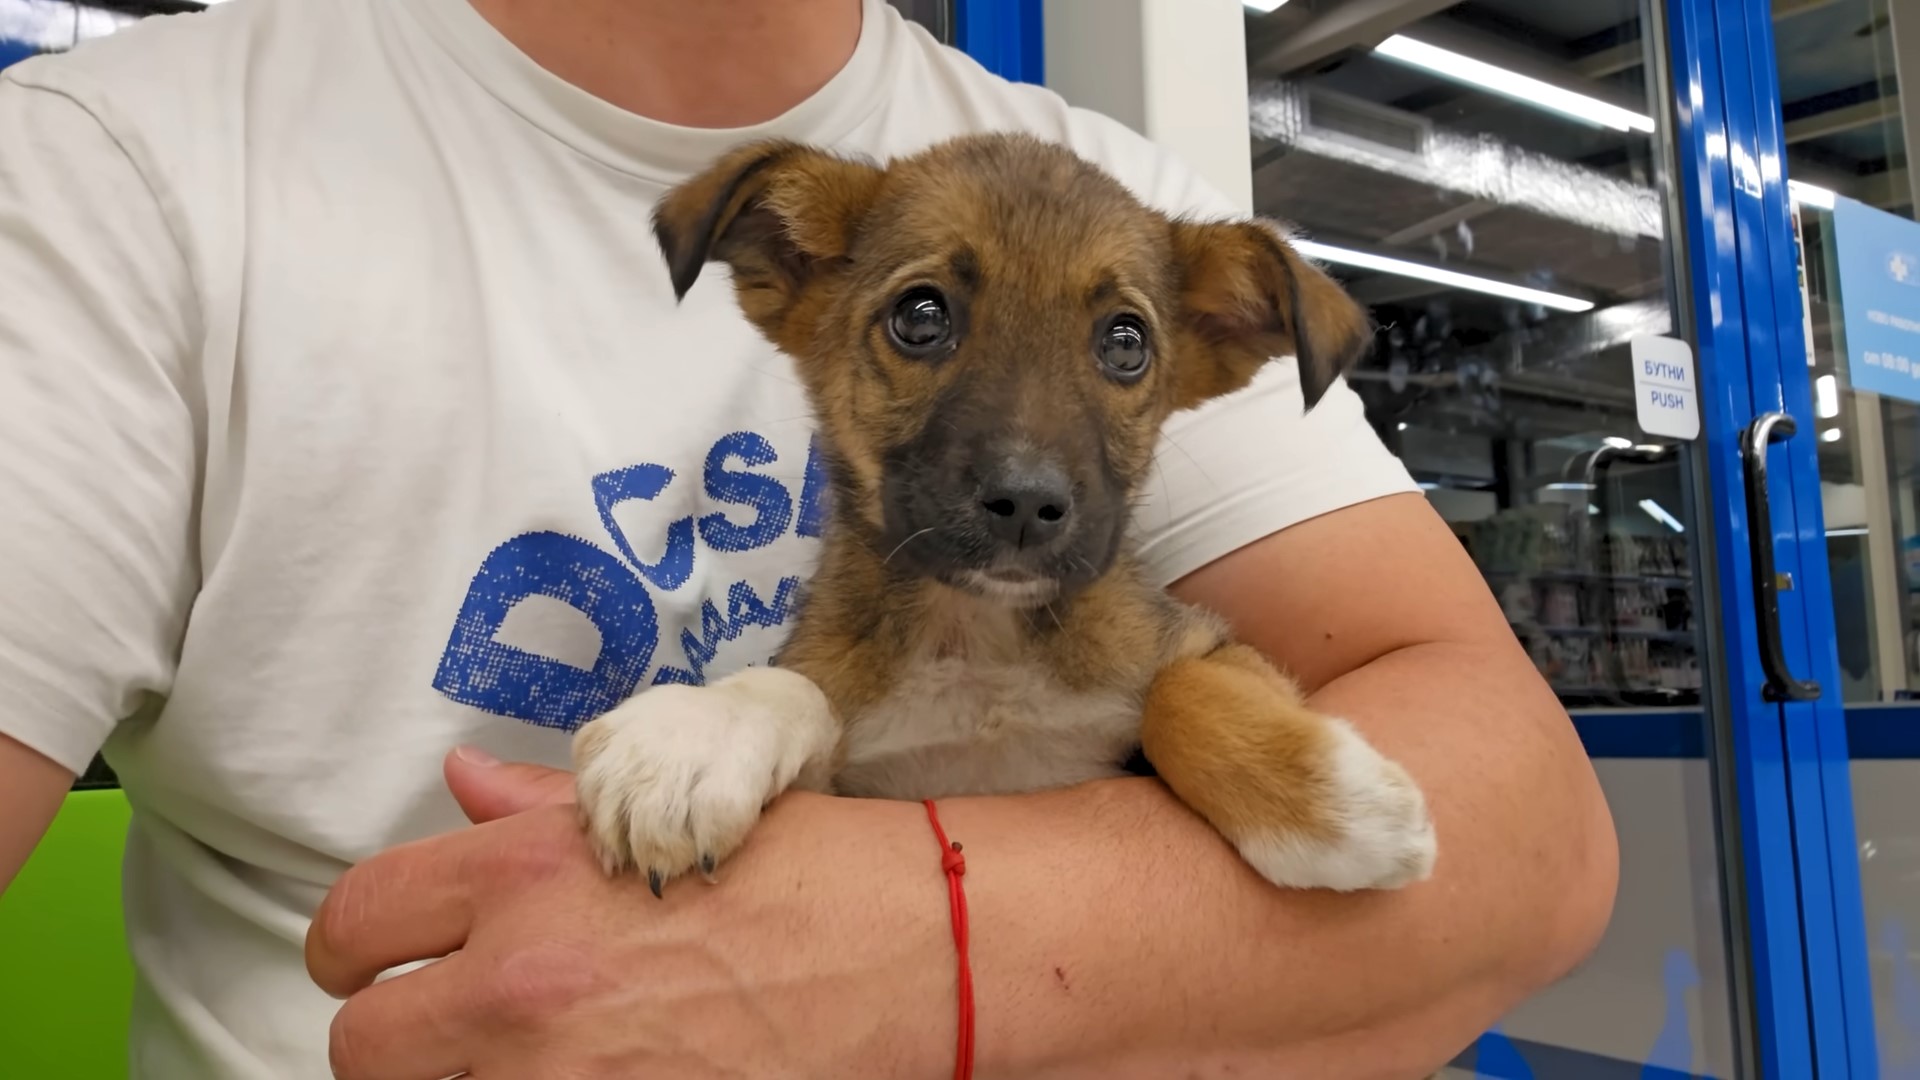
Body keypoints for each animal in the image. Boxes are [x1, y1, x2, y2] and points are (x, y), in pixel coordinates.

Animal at [560, 130, 1436, 895]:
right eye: (921, 316)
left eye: (1126, 342)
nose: (1027, 503)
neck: (979, 637)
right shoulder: (852, 774)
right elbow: (797, 687)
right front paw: (695, 736)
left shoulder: (1209, 644)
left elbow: (1178, 690)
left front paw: (1334, 805)